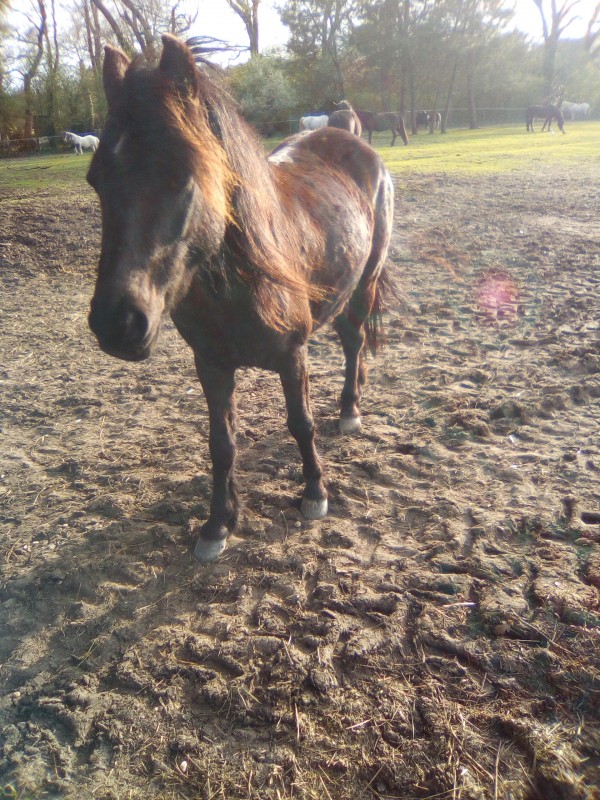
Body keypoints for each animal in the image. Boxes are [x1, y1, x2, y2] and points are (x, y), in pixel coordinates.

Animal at [87, 35, 394, 563]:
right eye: (95, 179)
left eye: (184, 175)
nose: (117, 324)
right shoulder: (211, 364)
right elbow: (221, 444)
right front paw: (217, 525)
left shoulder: (293, 355)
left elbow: (301, 424)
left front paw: (315, 493)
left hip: (365, 281)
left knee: (354, 342)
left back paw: (350, 410)